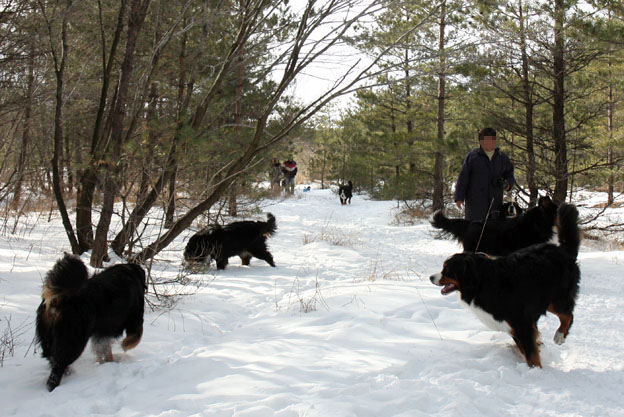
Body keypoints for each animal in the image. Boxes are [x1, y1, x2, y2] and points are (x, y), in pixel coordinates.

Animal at [36, 254, 147, 390]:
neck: (131, 273)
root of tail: (59, 300)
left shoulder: (102, 331)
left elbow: (103, 349)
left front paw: (107, 362)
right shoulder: (135, 317)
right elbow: (135, 337)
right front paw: (125, 345)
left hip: (49, 340)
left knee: (53, 359)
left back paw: (68, 372)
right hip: (73, 341)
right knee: (57, 368)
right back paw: (54, 385)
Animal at [428, 202, 580, 368]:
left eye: (447, 270)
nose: (431, 277)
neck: (481, 282)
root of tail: (563, 251)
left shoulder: (521, 322)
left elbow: (531, 355)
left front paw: (536, 371)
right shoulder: (514, 325)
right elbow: (526, 349)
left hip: (556, 297)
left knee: (568, 314)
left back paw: (559, 336)